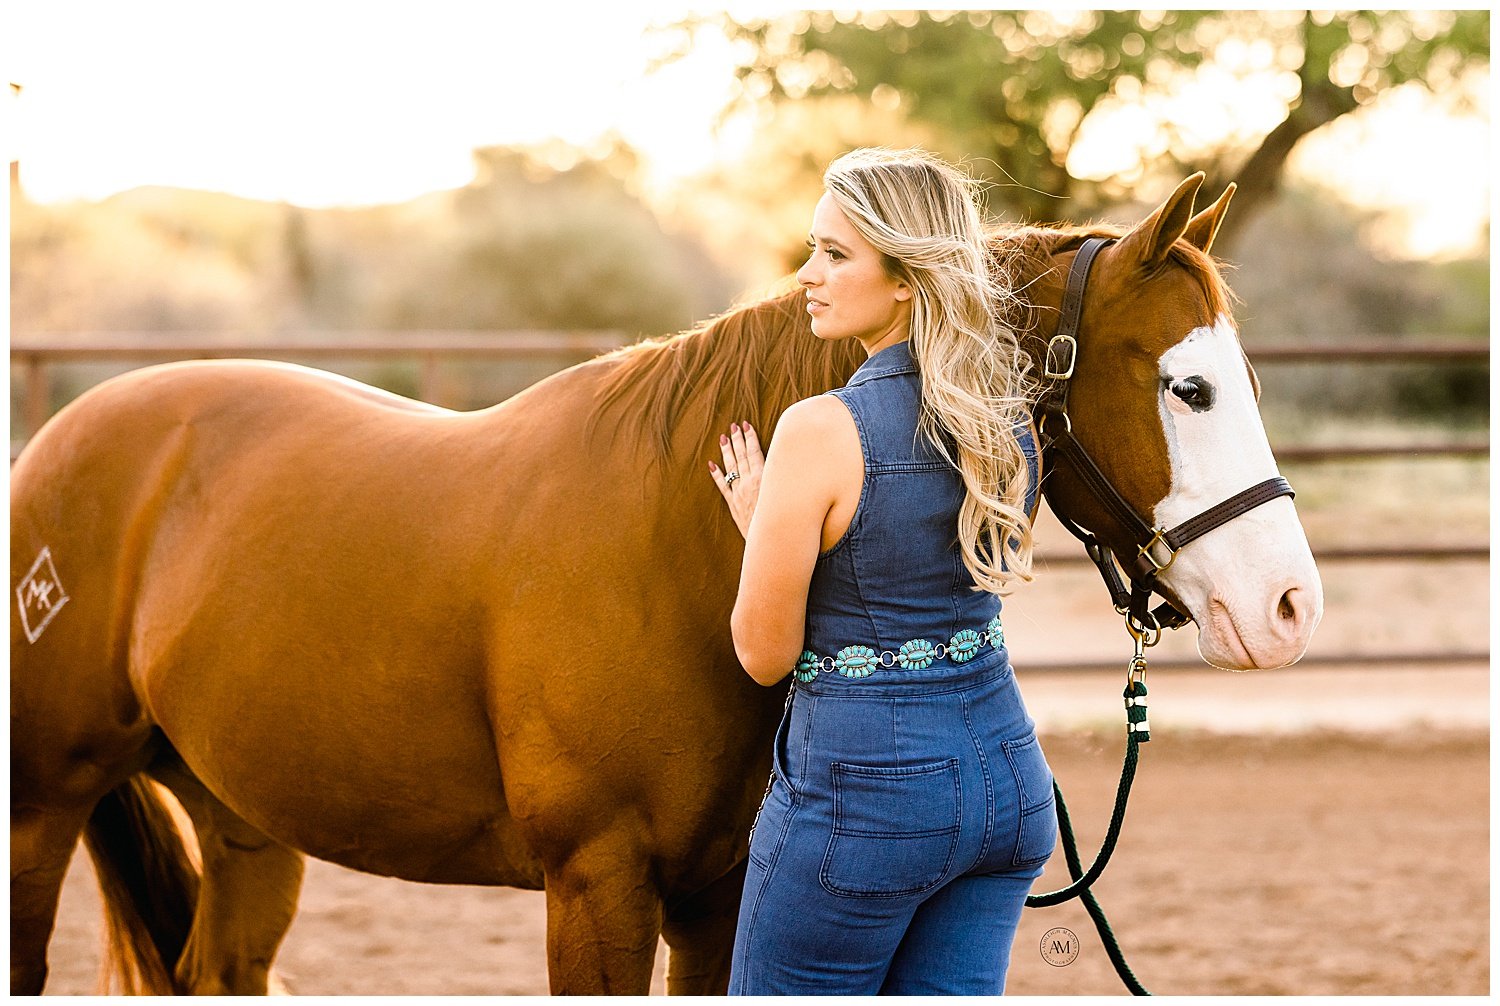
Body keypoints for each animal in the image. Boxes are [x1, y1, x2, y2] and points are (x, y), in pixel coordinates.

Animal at [14, 170, 1326, 989]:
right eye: (1187, 386)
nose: (1287, 607)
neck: (679, 547)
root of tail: (66, 438)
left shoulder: (716, 891)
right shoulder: (596, 885)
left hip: (247, 825)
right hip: (42, 809)